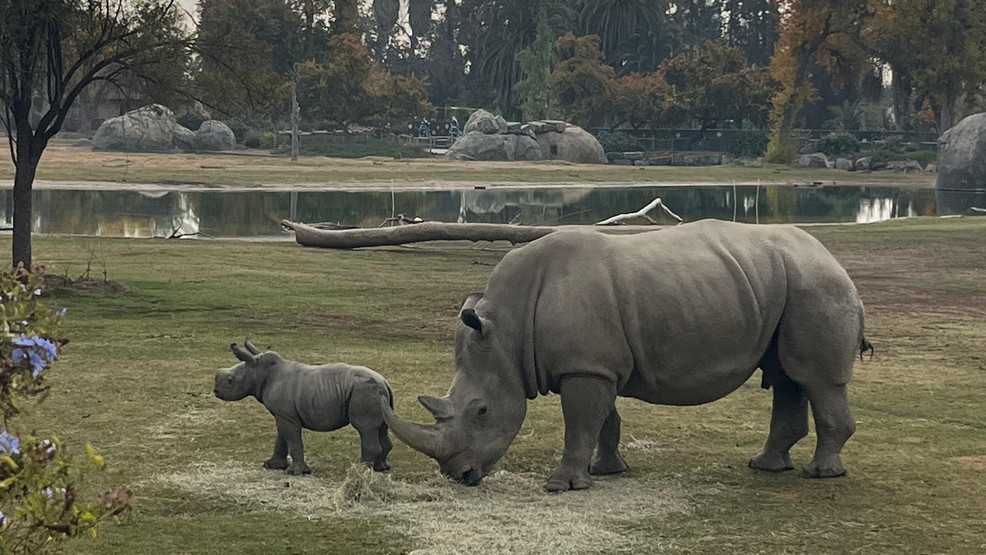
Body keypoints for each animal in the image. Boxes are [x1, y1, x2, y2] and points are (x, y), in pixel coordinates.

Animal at [214, 341, 394, 474]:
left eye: (230, 381)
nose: (215, 391)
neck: (259, 372)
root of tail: (385, 382)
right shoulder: (283, 414)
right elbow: (281, 439)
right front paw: (272, 465)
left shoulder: (287, 416)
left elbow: (293, 441)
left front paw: (297, 472)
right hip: (375, 393)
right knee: (381, 428)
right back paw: (380, 469)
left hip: (363, 391)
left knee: (365, 429)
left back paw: (360, 472)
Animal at [383, 220, 872, 491]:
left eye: (481, 411)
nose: (459, 476)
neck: (509, 332)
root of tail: (832, 259)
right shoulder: (596, 364)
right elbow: (604, 420)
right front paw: (605, 472)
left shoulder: (586, 367)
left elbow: (581, 422)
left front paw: (562, 487)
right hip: (785, 281)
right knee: (787, 375)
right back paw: (766, 466)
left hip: (816, 286)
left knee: (815, 379)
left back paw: (821, 475)